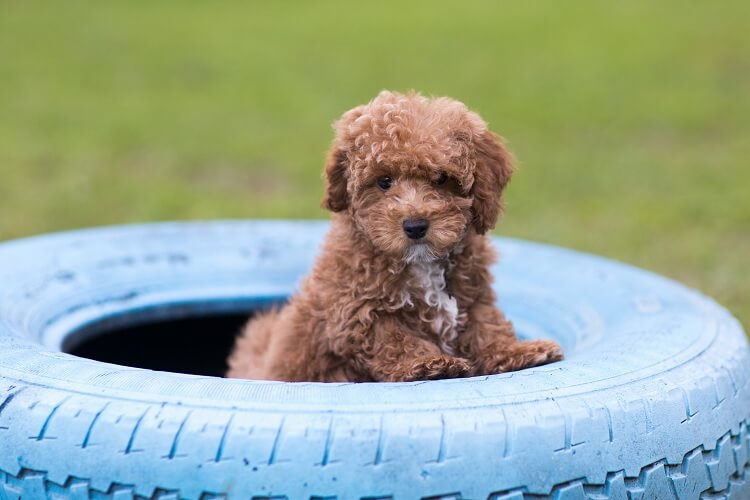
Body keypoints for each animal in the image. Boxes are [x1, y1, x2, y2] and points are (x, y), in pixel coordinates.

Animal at [229, 90, 564, 380]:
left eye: (441, 178)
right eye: (384, 181)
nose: (415, 225)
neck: (421, 263)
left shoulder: (474, 293)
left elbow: (486, 324)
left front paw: (516, 351)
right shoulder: (356, 311)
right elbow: (395, 338)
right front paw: (429, 362)